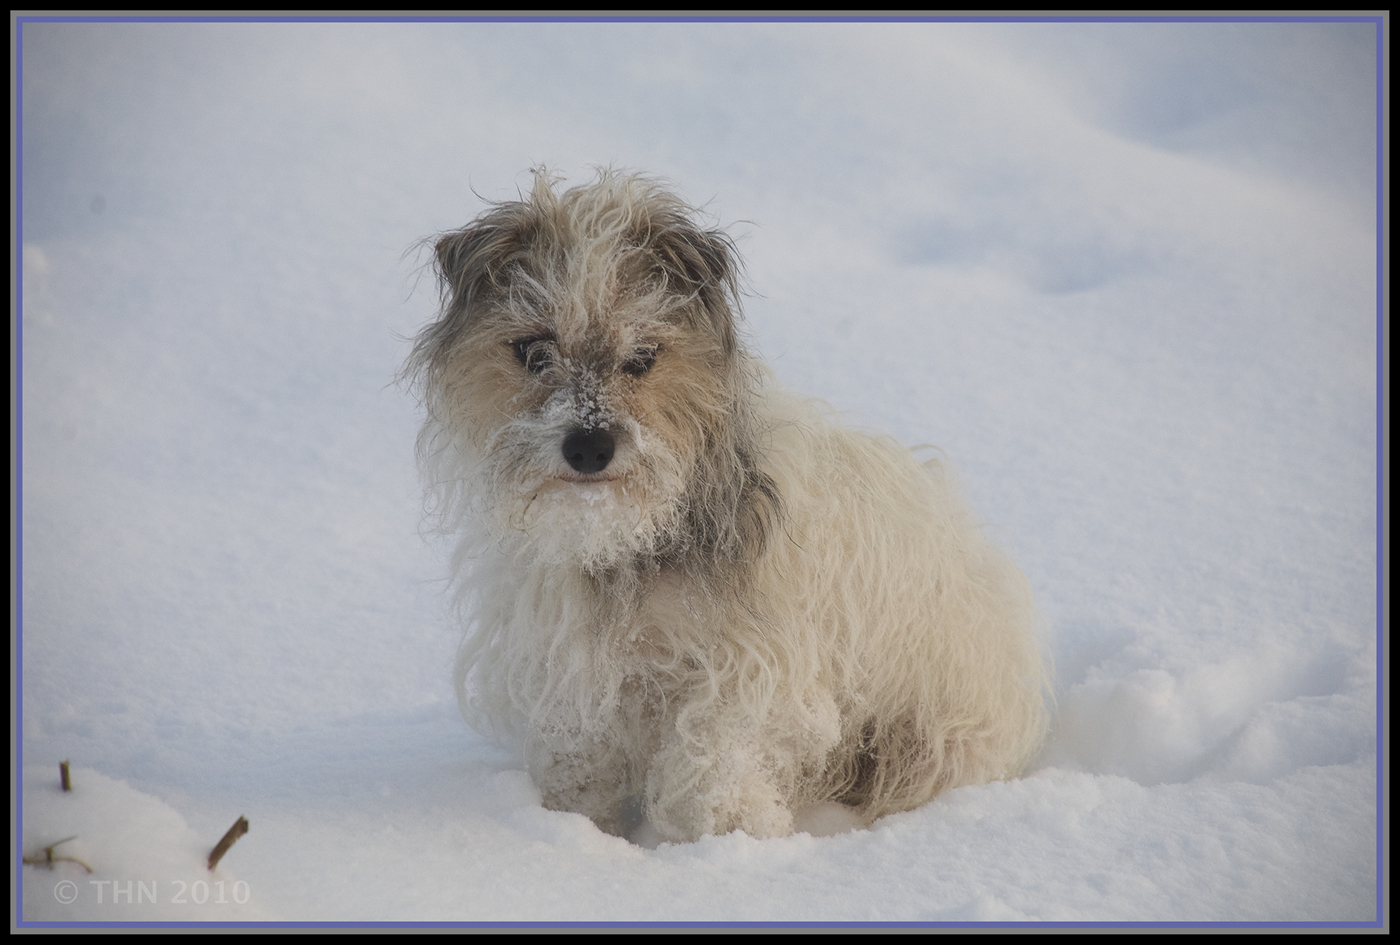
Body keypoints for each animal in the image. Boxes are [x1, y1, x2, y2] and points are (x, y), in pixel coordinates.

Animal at [400, 170, 1047, 845]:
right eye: (533, 351)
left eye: (643, 356)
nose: (590, 446)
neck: (630, 543)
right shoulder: (569, 669)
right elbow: (582, 759)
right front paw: (579, 829)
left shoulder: (748, 674)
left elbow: (712, 761)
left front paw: (729, 840)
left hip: (931, 734)